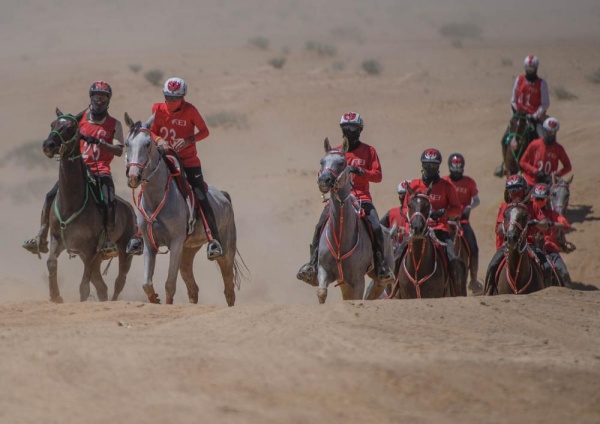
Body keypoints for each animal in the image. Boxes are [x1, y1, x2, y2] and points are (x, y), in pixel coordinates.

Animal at [41, 108, 136, 302]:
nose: (48, 145)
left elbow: (84, 286)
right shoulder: (58, 239)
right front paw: (55, 296)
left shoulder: (91, 248)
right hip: (92, 256)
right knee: (101, 286)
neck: (71, 201)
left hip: (123, 251)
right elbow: (51, 262)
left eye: (70, 127)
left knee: (119, 281)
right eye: (53, 124)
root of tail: (130, 209)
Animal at [123, 112, 245, 304]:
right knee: (193, 288)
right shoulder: (150, 245)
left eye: (148, 143)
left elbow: (169, 285)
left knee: (229, 289)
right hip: (187, 252)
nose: (134, 176)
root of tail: (224, 196)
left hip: (226, 252)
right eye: (127, 143)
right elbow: (147, 284)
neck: (157, 198)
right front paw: (155, 300)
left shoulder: (176, 243)